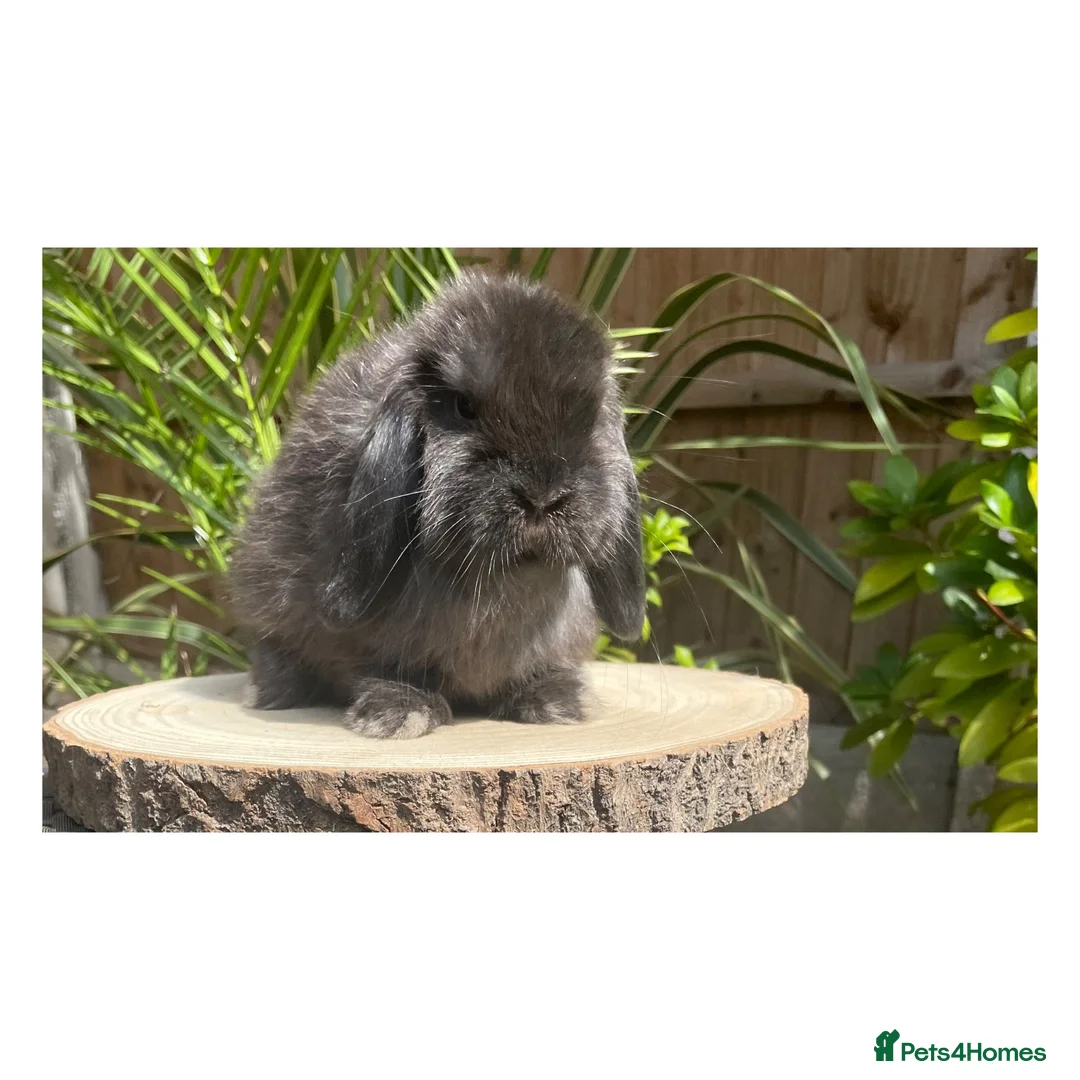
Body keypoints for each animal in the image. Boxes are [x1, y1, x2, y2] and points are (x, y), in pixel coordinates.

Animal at [227, 270, 645, 739]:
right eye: (464, 407)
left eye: (589, 416)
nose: (542, 496)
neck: (504, 577)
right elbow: (388, 665)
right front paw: (399, 712)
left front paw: (555, 700)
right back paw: (273, 692)